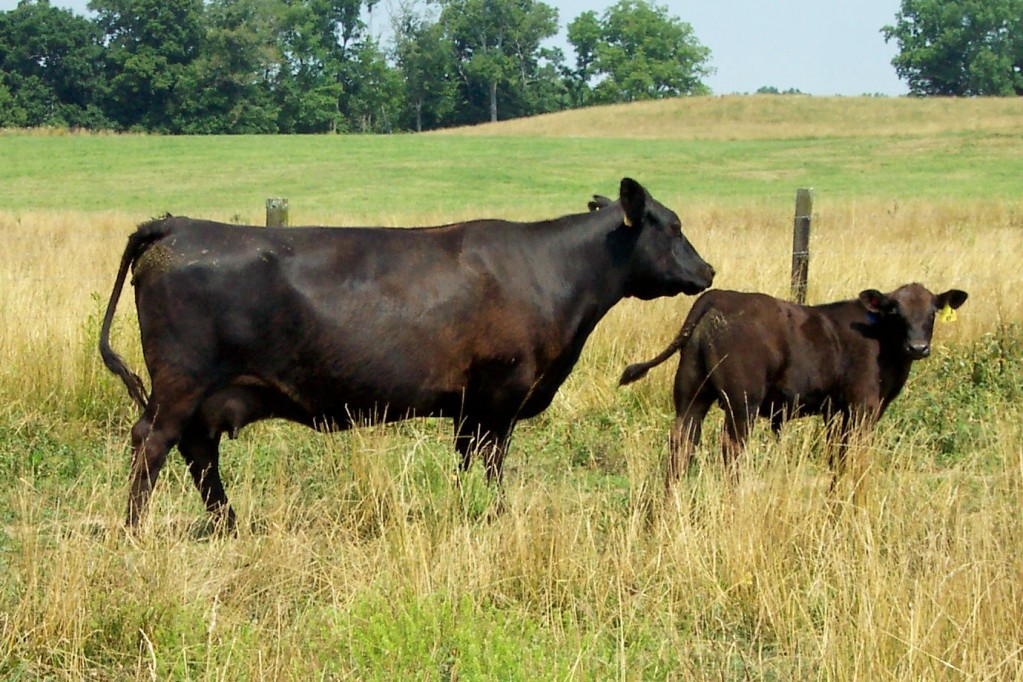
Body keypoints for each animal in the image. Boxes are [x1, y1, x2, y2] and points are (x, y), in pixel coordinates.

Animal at [101, 178, 712, 527]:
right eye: (675, 225)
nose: (707, 270)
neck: (552, 270)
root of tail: (174, 225)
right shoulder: (501, 394)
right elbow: (492, 463)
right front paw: (494, 516)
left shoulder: (469, 406)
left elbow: (466, 460)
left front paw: (466, 513)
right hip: (180, 383)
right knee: (152, 444)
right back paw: (134, 529)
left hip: (202, 396)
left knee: (198, 452)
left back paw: (230, 525)